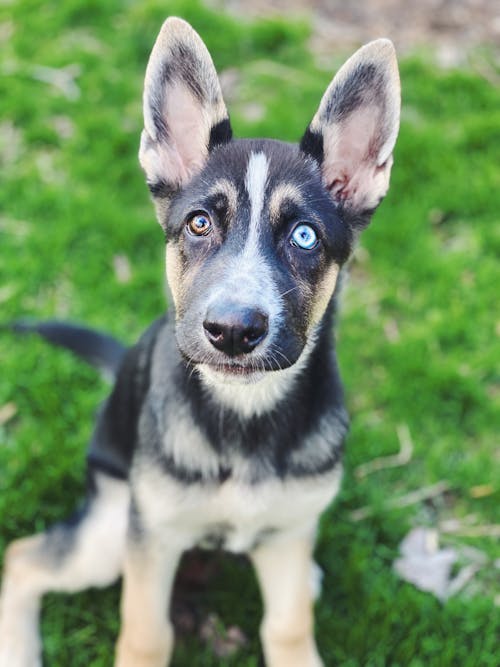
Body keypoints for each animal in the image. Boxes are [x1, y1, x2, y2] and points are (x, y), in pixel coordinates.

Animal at [0, 15, 398, 667]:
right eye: (200, 223)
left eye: (306, 236)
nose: (233, 330)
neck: (244, 416)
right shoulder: (152, 536)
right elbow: (145, 631)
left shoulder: (289, 534)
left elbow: (288, 627)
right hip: (110, 531)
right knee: (23, 560)